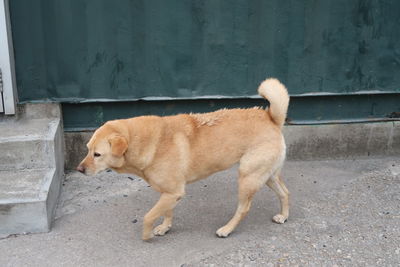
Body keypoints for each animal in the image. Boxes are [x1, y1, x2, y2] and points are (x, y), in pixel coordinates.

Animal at [77, 78, 290, 242]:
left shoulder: (173, 192)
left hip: (247, 177)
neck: (148, 142)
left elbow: (148, 216)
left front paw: (146, 235)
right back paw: (284, 216)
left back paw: (227, 229)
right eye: (87, 150)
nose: (79, 170)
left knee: (244, 208)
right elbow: (166, 212)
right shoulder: (169, 193)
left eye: (97, 154)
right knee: (285, 192)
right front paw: (165, 227)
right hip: (267, 175)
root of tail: (271, 119)